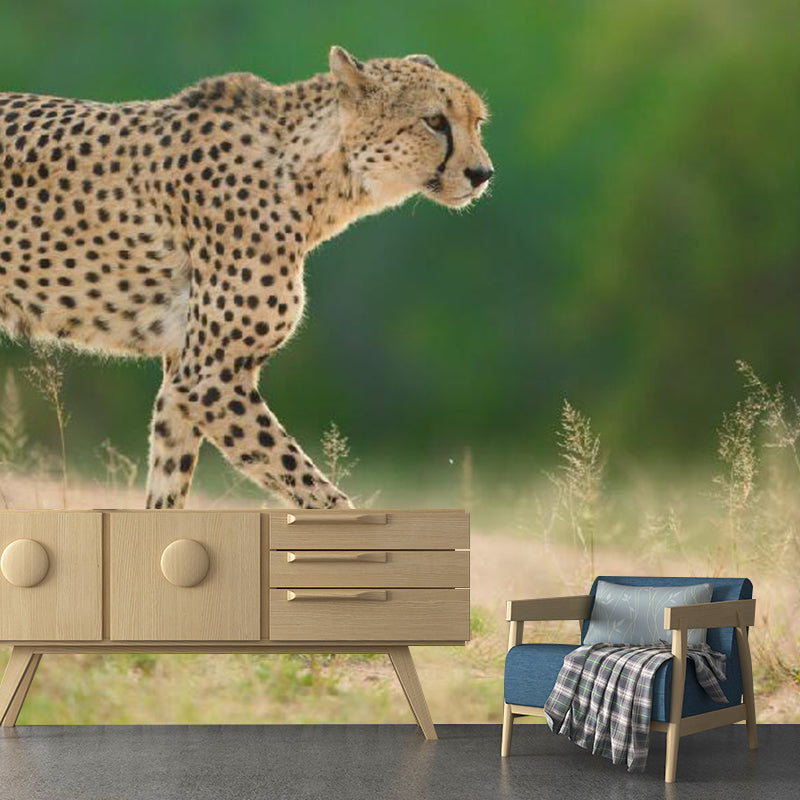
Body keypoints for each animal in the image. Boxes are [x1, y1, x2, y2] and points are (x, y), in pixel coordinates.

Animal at [0, 46, 493, 509]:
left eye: (476, 122)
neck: (313, 174)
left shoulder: (181, 380)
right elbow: (321, 494)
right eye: (434, 121)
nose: (482, 173)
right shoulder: (210, 380)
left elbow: (168, 490)